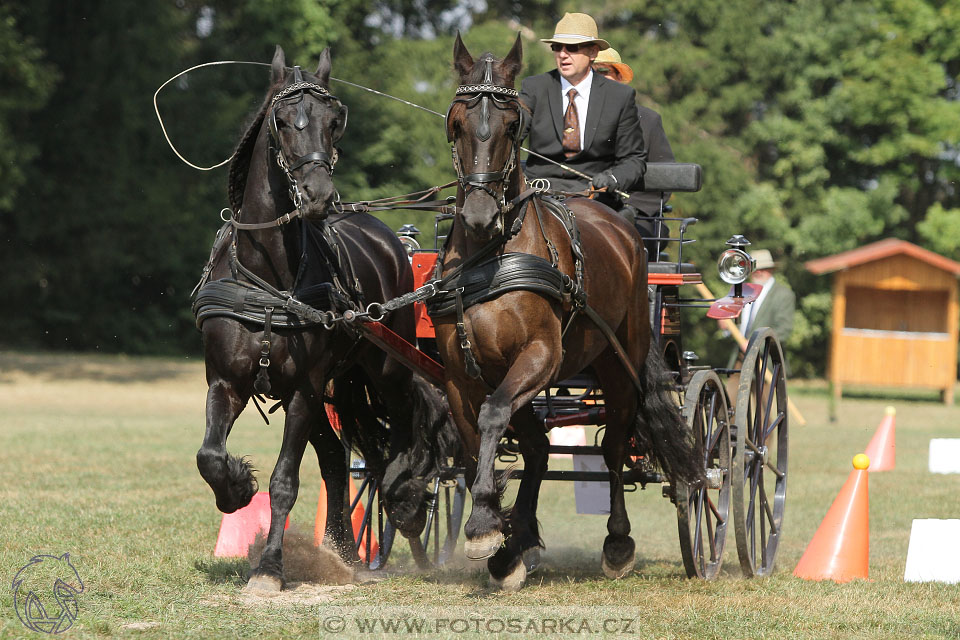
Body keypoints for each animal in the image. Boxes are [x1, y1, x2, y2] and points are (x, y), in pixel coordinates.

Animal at [194, 45, 454, 592]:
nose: (318, 195)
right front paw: (236, 488)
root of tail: (388, 237)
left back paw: (404, 500)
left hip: (383, 368)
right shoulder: (225, 381)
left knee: (404, 429)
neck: (269, 277)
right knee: (339, 459)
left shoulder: (304, 390)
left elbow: (285, 482)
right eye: (282, 121)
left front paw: (269, 568)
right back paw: (348, 552)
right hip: (338, 385)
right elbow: (210, 455)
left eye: (335, 120)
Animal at [432, 36, 700, 592]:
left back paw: (617, 543)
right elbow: (471, 447)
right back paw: (520, 541)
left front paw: (486, 524)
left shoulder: (540, 354)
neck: (489, 258)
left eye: (513, 124)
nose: (478, 215)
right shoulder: (459, 374)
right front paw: (498, 538)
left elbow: (494, 418)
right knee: (537, 447)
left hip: (619, 366)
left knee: (614, 448)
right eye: (456, 122)